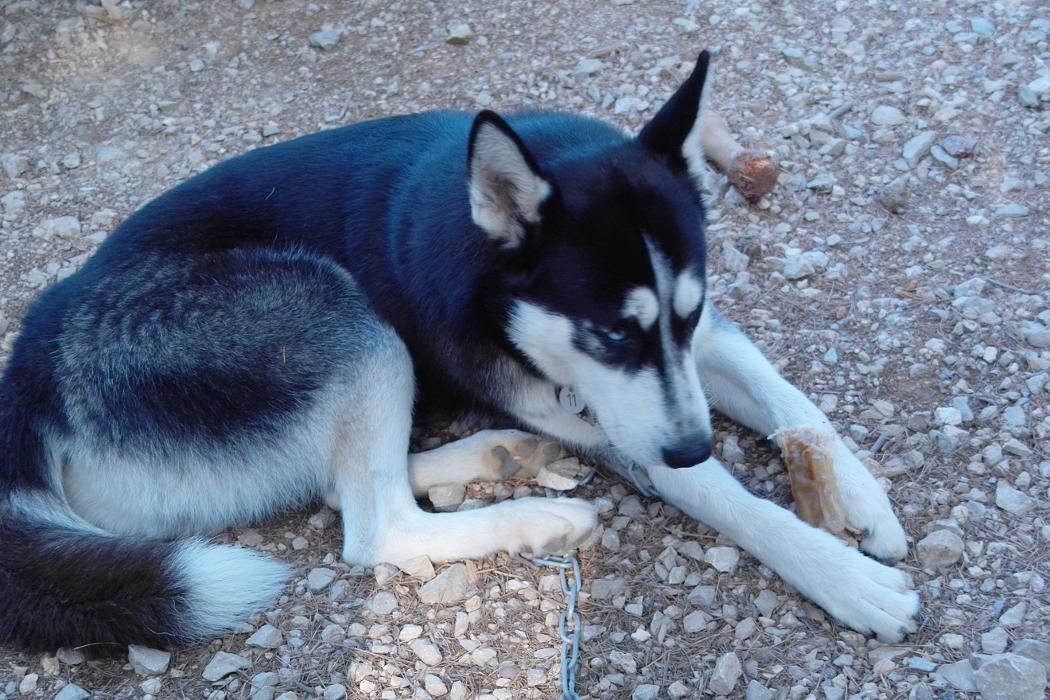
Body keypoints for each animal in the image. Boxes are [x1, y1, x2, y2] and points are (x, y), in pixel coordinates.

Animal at [0, 53, 919, 650]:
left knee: (342, 488)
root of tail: (32, 362)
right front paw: (840, 575)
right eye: (610, 334)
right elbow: (732, 498)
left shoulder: (699, 344)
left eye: (680, 322)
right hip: (338, 311)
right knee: (373, 527)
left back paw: (501, 455)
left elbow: (790, 399)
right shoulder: (628, 421)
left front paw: (862, 498)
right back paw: (537, 511)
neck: (492, 272)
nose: (693, 444)